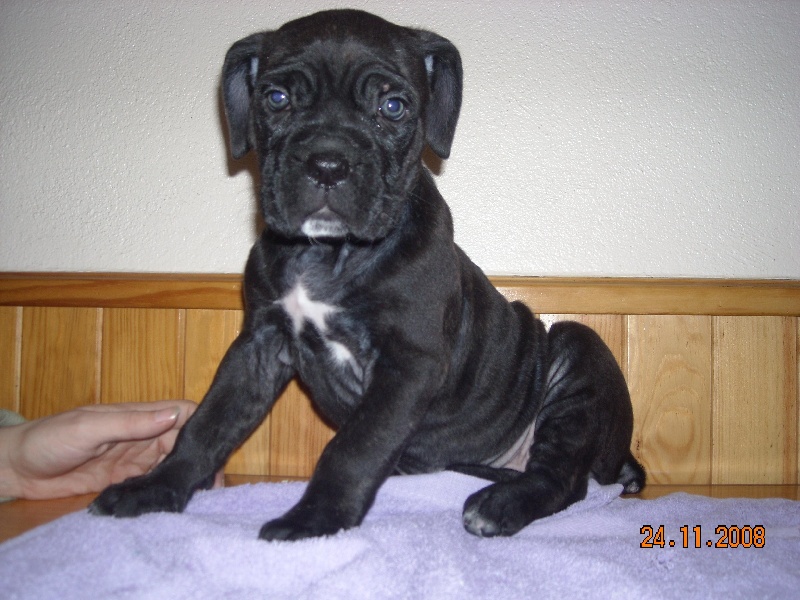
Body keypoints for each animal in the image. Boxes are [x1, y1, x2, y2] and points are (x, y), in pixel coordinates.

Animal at [91, 9, 645, 540]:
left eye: (393, 107)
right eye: (276, 98)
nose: (327, 164)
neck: (326, 255)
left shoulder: (408, 363)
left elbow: (353, 448)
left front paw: (315, 520)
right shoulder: (257, 347)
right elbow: (207, 425)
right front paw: (153, 488)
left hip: (577, 349)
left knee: (566, 479)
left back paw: (499, 506)